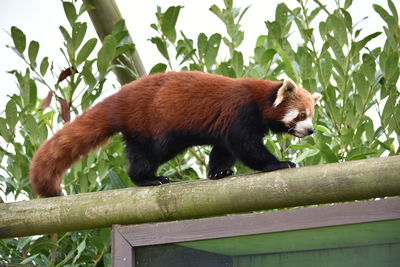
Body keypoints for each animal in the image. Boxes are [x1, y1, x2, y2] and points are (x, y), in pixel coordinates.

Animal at [28, 70, 322, 197]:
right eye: (301, 115)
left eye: (311, 116)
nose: (310, 131)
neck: (260, 98)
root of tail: (120, 98)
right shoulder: (241, 112)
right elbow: (245, 145)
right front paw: (278, 163)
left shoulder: (226, 125)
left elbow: (224, 148)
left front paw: (219, 172)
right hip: (154, 126)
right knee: (148, 154)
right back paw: (148, 178)